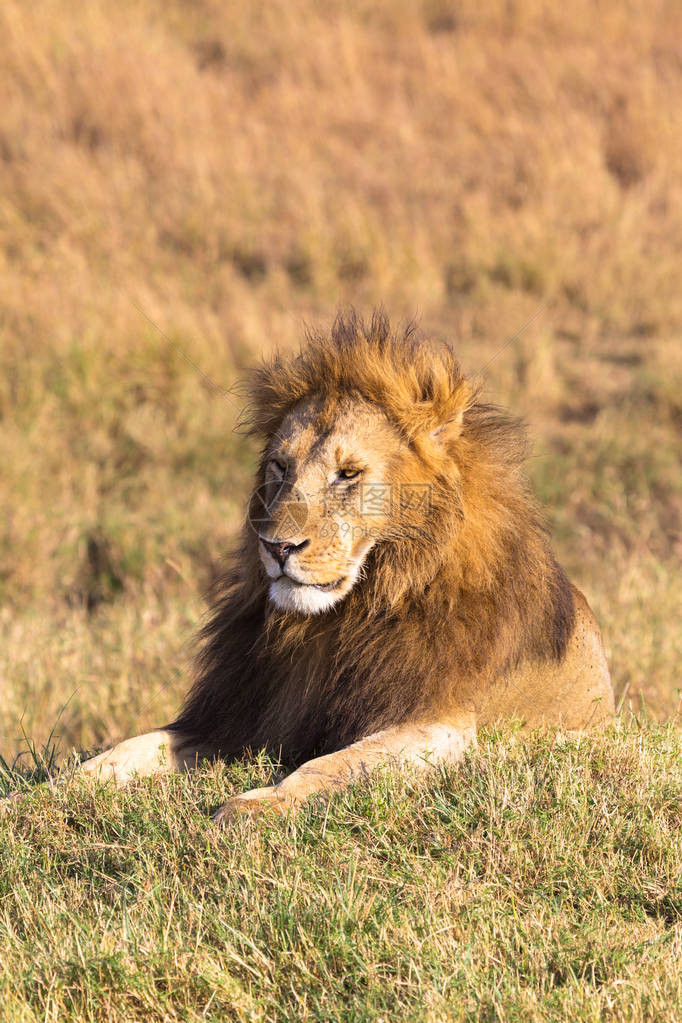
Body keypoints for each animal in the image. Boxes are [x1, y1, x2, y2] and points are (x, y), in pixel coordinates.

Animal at [78, 306, 613, 818]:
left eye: (348, 474)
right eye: (280, 467)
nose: (277, 547)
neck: (337, 623)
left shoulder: (439, 723)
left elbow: (330, 766)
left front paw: (254, 806)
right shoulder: (244, 716)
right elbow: (134, 746)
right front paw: (66, 785)